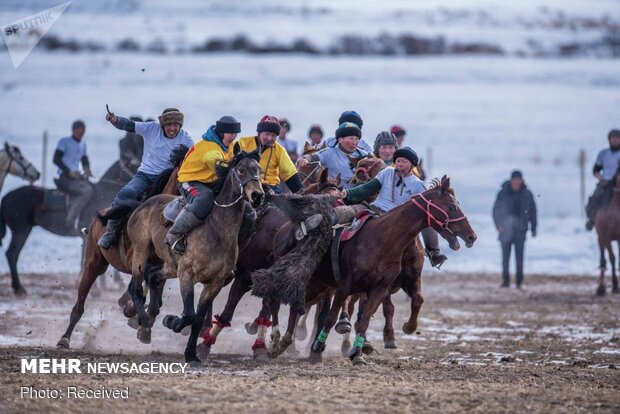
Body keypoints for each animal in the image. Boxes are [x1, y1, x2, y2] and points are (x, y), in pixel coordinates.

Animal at [127, 146, 266, 362]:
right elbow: (190, 314)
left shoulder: (214, 283)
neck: (216, 230)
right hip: (141, 252)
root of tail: (144, 204)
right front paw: (172, 321)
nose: (257, 196)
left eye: (259, 169)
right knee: (135, 285)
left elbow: (198, 318)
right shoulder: (187, 275)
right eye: (241, 170)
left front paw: (191, 353)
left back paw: (150, 318)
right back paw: (143, 320)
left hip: (170, 265)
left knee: (153, 276)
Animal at [260, 176, 478, 364]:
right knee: (275, 301)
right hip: (291, 273)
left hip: (316, 283)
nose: (471, 236)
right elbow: (330, 318)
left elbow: (364, 321)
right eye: (452, 206)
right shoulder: (344, 286)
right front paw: (317, 350)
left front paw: (357, 354)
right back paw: (275, 343)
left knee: (296, 308)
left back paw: (284, 343)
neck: (381, 240)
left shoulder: (379, 289)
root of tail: (285, 228)